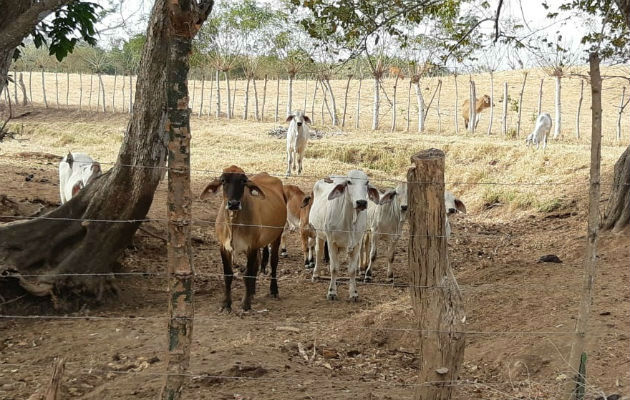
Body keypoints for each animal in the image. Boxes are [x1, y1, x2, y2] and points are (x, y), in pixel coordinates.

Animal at [201, 166, 288, 312]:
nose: (233, 204)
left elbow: (248, 273)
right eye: (223, 180)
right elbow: (228, 274)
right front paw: (226, 303)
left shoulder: (251, 246)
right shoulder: (224, 247)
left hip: (277, 236)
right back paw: (252, 292)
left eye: (243, 181)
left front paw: (245, 303)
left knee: (273, 262)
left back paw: (273, 290)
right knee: (257, 264)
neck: (233, 224)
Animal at [310, 170, 382, 302]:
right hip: (319, 233)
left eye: (367, 182)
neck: (349, 221)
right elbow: (334, 268)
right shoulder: (331, 242)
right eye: (349, 182)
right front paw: (332, 292)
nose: (361, 202)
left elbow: (352, 270)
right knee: (318, 251)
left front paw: (354, 293)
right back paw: (316, 274)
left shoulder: (357, 243)